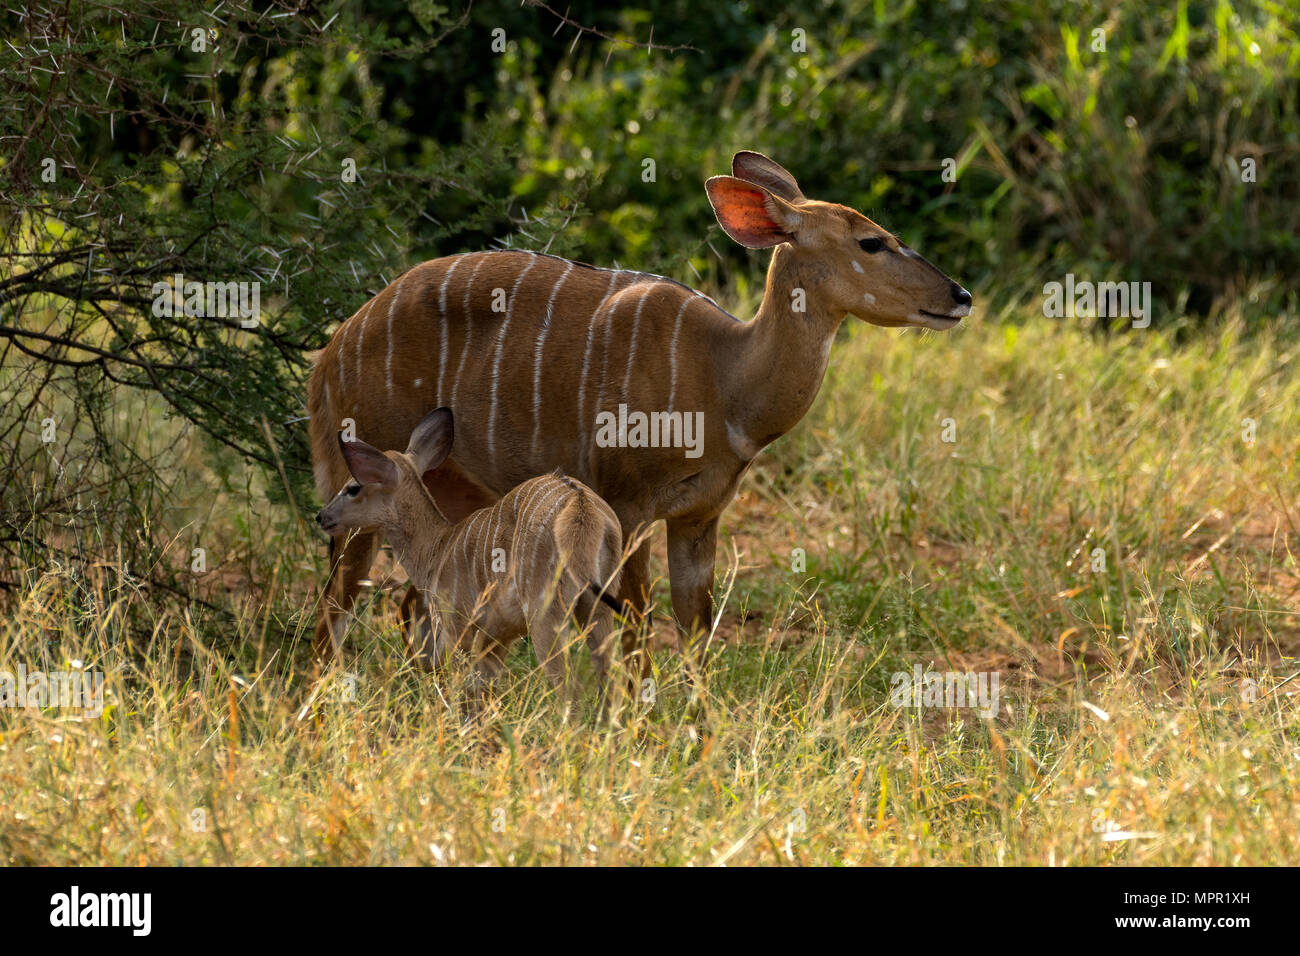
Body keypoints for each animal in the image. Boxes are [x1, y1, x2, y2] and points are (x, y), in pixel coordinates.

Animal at [309, 151, 972, 681]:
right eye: (872, 242)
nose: (960, 296)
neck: (725, 379)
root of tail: (332, 352)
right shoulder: (627, 506)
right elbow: (634, 628)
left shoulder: (700, 516)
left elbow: (697, 630)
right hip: (361, 491)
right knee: (335, 609)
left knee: (413, 605)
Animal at [309, 408, 624, 712]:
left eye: (353, 487)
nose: (322, 516)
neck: (436, 550)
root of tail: (583, 508)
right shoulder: (495, 641)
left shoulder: (457, 626)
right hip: (597, 606)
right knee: (609, 682)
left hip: (546, 611)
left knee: (571, 690)